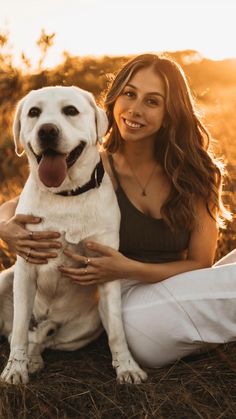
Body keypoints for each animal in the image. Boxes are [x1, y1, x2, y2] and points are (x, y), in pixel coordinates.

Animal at [0, 87, 148, 386]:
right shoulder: (25, 269)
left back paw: (36, 355)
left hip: (86, 326)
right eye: (34, 112)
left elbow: (117, 330)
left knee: (43, 340)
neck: (65, 195)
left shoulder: (105, 267)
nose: (47, 131)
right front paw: (15, 369)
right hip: (4, 280)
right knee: (16, 333)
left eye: (70, 110)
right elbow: (19, 330)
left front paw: (127, 367)